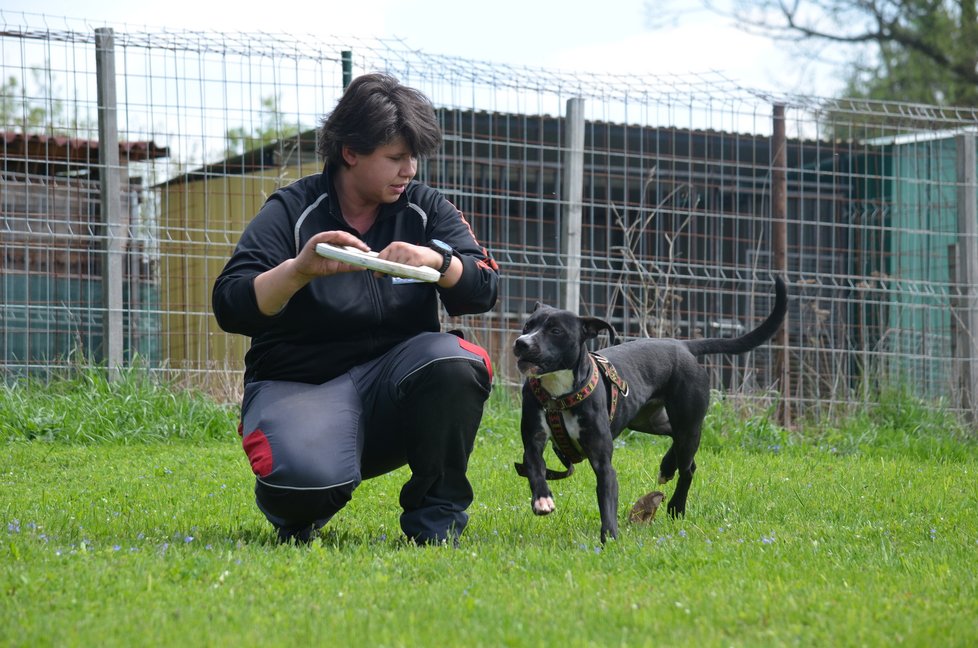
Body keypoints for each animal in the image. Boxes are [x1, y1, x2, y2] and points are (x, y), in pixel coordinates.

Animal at [510, 278, 784, 540]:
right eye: (527, 326)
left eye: (555, 331)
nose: (521, 343)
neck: (559, 394)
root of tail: (684, 346)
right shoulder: (533, 441)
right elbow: (535, 468)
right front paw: (542, 500)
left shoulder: (603, 461)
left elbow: (606, 500)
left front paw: (609, 538)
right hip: (649, 420)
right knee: (676, 442)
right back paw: (667, 466)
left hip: (688, 421)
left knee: (688, 467)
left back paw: (676, 505)